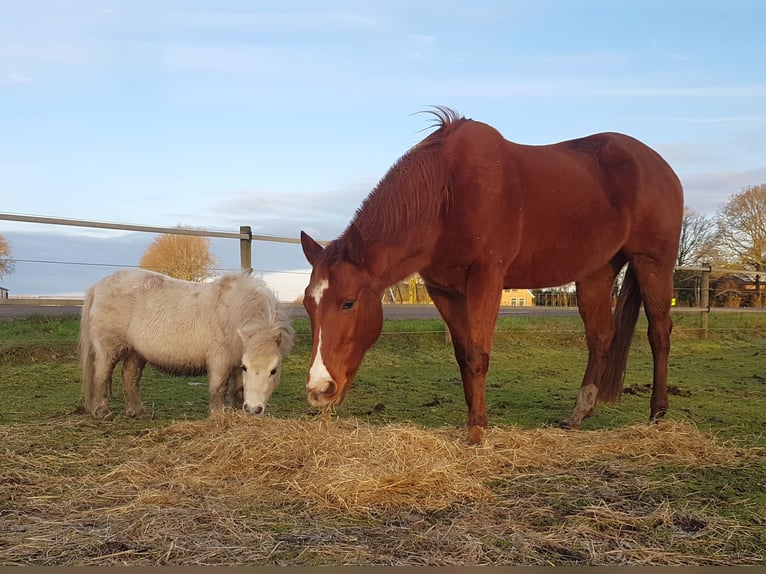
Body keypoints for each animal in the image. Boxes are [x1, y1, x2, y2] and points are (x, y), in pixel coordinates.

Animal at [79, 268, 294, 419]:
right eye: (246, 367)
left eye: (274, 370)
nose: (254, 409)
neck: (233, 311)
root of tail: (99, 285)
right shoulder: (220, 361)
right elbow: (219, 388)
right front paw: (218, 416)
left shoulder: (235, 360)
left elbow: (239, 390)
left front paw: (237, 414)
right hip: (108, 349)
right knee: (102, 375)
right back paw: (102, 411)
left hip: (135, 351)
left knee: (130, 377)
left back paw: (137, 412)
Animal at [300, 107, 684, 444]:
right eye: (307, 305)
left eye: (348, 303)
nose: (319, 390)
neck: (447, 194)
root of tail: (662, 167)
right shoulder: (443, 290)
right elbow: (463, 354)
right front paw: (475, 420)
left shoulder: (487, 279)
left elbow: (478, 355)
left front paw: (476, 432)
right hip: (595, 274)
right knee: (601, 338)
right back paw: (578, 415)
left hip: (653, 263)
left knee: (659, 334)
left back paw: (657, 413)